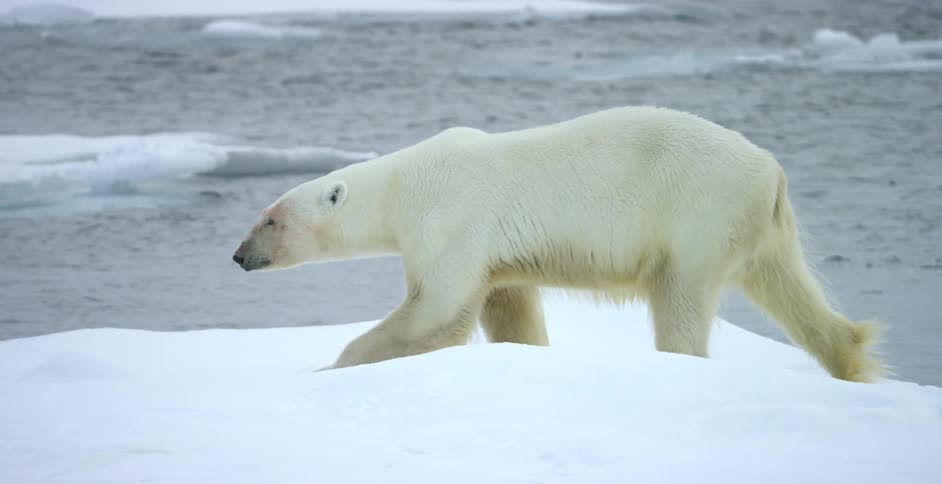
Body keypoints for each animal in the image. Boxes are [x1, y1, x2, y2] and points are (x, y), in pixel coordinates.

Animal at [232, 106, 886, 383]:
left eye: (270, 219)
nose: (239, 256)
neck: (402, 186)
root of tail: (771, 171)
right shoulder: (496, 253)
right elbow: (510, 308)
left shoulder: (451, 218)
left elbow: (434, 312)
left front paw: (333, 365)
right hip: (757, 225)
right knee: (786, 285)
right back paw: (852, 358)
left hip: (695, 210)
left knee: (681, 298)